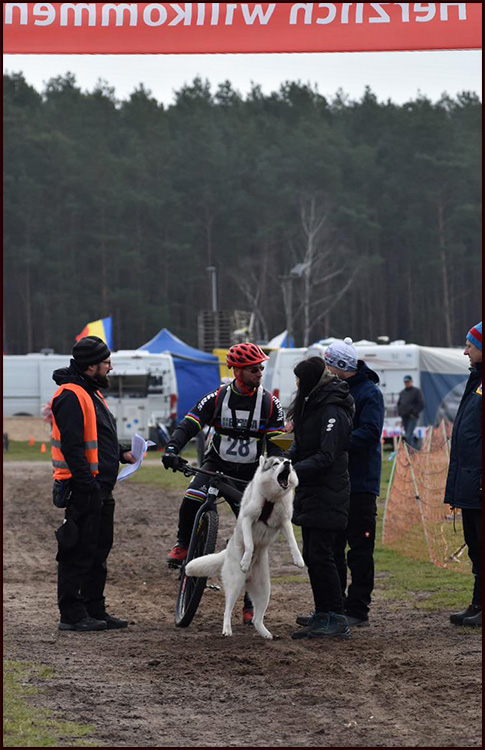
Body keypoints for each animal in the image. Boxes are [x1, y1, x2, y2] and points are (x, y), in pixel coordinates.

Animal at [185, 455, 304, 638]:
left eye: (287, 461)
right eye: (275, 463)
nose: (288, 464)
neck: (271, 499)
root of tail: (227, 551)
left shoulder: (284, 522)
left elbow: (292, 542)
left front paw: (298, 559)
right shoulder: (248, 520)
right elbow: (249, 543)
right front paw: (246, 560)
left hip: (264, 591)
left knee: (256, 618)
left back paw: (266, 634)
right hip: (235, 584)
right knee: (227, 610)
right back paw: (227, 629)